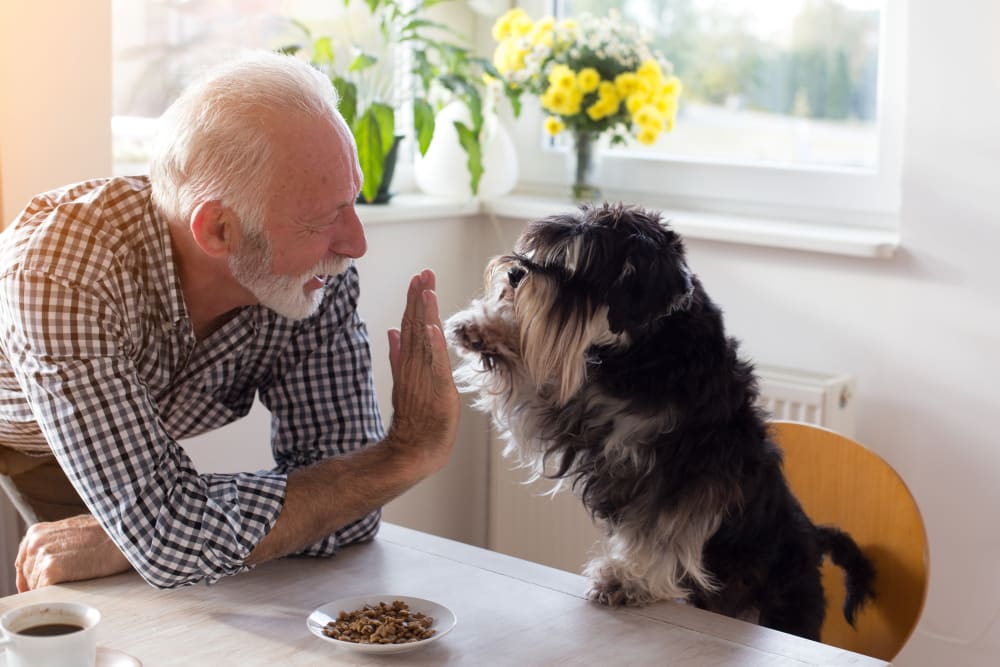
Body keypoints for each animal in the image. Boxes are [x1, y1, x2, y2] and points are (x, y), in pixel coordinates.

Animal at [446, 201, 876, 640]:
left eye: (580, 266)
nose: (515, 273)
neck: (647, 351)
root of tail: (813, 538)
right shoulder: (575, 416)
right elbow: (533, 385)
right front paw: (485, 328)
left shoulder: (687, 473)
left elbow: (662, 532)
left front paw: (626, 580)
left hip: (785, 608)